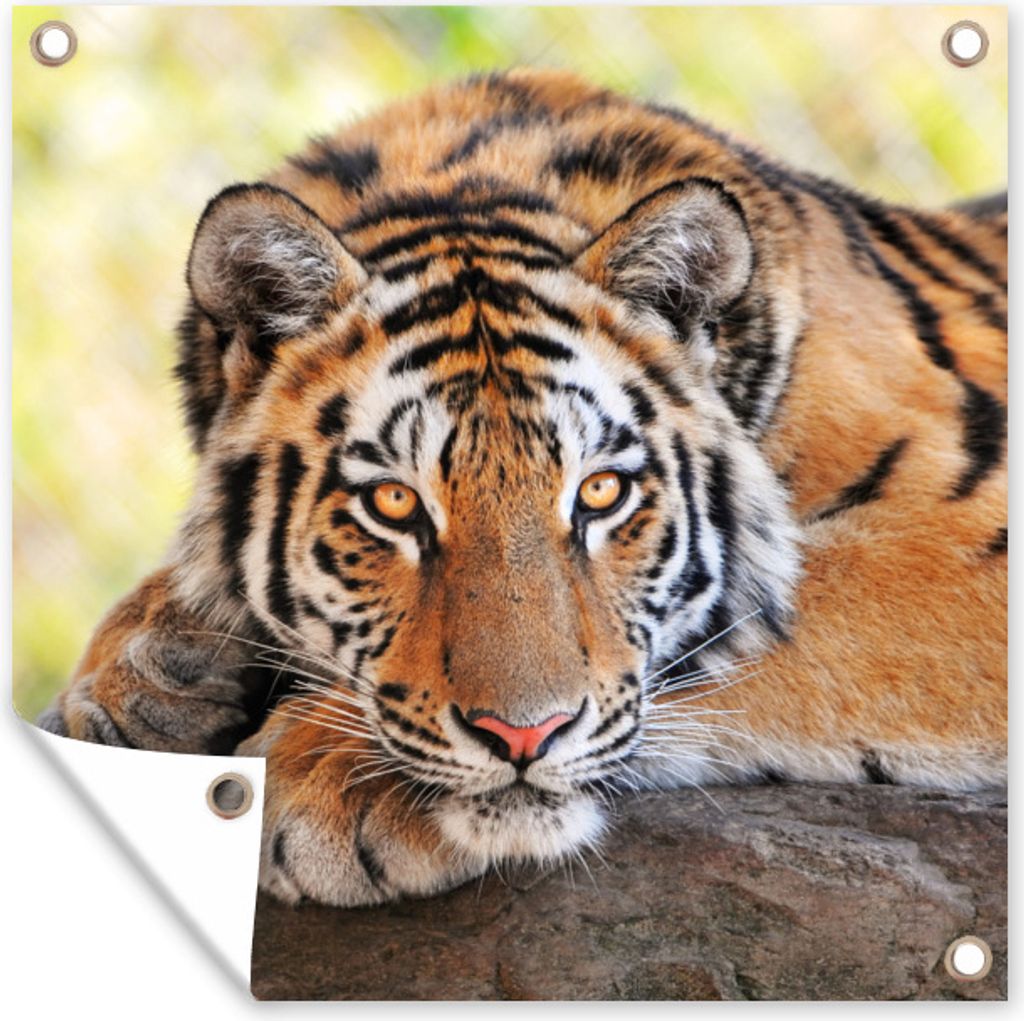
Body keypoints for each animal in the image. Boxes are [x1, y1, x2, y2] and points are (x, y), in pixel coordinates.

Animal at [37, 69, 1007, 908]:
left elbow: (730, 632)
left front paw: (326, 774)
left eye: (602, 493)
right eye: (394, 503)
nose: (522, 739)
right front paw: (138, 676)